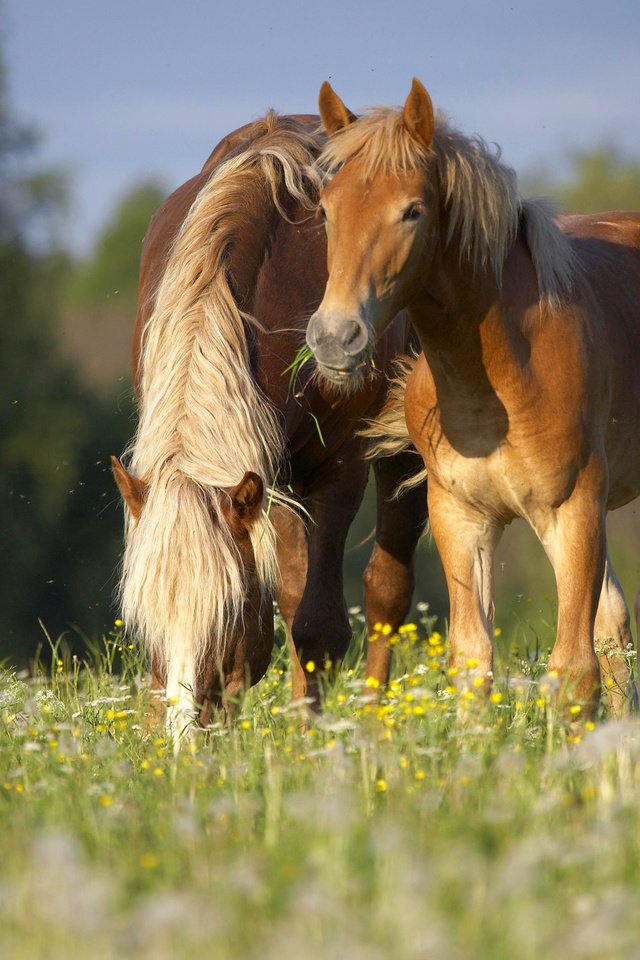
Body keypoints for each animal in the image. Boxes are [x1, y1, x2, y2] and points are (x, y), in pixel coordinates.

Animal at [112, 114, 428, 744]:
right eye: (142, 619)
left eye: (227, 612)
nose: (184, 742)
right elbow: (283, 608)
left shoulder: (337, 469)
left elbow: (319, 626)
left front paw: (312, 743)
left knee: (385, 591)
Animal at [306, 79, 640, 716]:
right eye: (326, 209)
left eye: (413, 210)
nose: (335, 337)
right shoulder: (462, 518)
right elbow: (472, 661)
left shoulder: (574, 511)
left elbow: (573, 670)